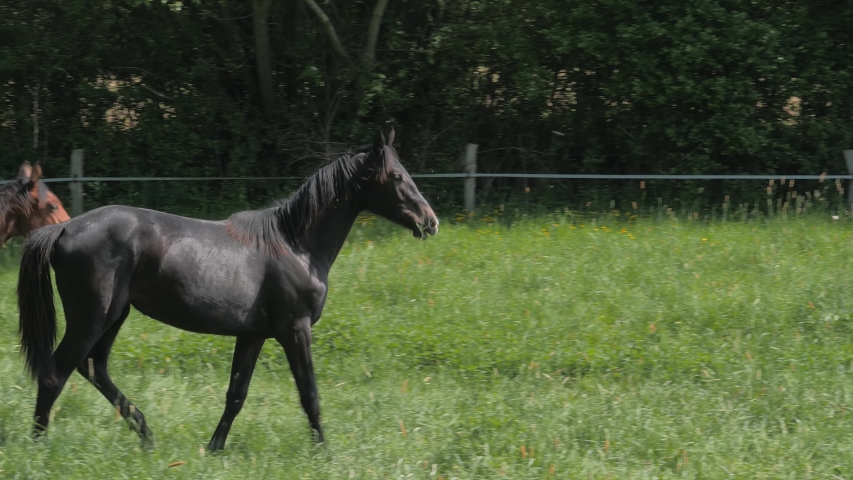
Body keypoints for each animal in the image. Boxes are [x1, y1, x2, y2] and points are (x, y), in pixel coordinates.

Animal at [17, 128, 438, 452]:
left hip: (115, 315)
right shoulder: (295, 330)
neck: (295, 244)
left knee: (93, 366)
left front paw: (214, 449)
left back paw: (146, 434)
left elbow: (236, 395)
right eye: (396, 177)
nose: (430, 222)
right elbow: (310, 394)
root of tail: (62, 229)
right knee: (56, 373)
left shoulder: (252, 335)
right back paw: (40, 446)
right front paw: (324, 452)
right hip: (92, 318)